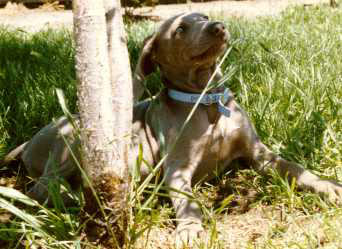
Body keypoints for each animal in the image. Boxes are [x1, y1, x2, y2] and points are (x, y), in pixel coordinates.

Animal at [2, 12, 342, 245]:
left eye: (203, 17)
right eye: (180, 30)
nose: (218, 26)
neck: (206, 100)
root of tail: (29, 142)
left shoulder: (260, 154)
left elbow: (296, 169)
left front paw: (328, 186)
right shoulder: (177, 170)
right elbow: (189, 204)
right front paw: (190, 230)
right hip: (72, 137)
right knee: (41, 188)